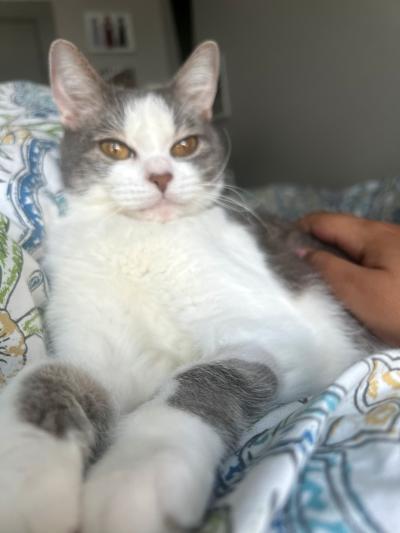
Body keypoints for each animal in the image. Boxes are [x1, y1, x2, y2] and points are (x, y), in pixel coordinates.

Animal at [0, 38, 382, 532]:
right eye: (114, 149)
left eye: (185, 145)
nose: (161, 176)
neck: (141, 243)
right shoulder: (94, 348)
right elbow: (44, 375)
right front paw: (27, 485)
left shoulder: (288, 336)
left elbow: (205, 375)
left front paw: (138, 477)